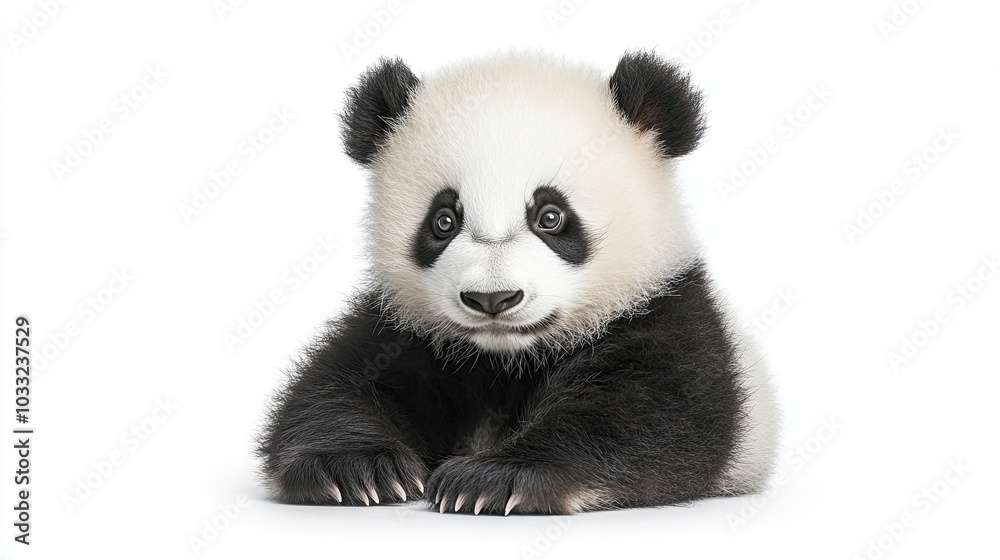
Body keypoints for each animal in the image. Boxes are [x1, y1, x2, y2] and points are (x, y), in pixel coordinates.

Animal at [258, 50, 779, 515]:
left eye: (551, 216)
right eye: (443, 220)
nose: (492, 299)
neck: (506, 360)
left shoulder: (667, 313)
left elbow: (650, 414)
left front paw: (494, 479)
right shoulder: (406, 327)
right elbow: (338, 386)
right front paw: (355, 468)